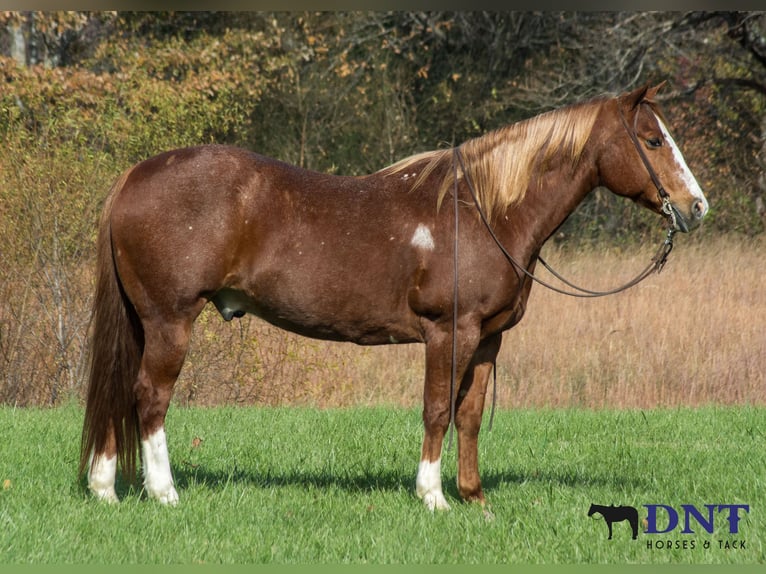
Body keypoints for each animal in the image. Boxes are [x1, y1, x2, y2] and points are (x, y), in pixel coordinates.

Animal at [79, 83, 708, 509]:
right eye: (653, 140)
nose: (696, 206)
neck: (482, 212)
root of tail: (134, 175)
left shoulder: (487, 340)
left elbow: (469, 415)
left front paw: (474, 497)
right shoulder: (448, 331)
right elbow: (436, 410)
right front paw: (432, 496)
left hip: (143, 322)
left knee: (120, 389)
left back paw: (106, 489)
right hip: (170, 320)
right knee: (149, 397)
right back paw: (164, 493)